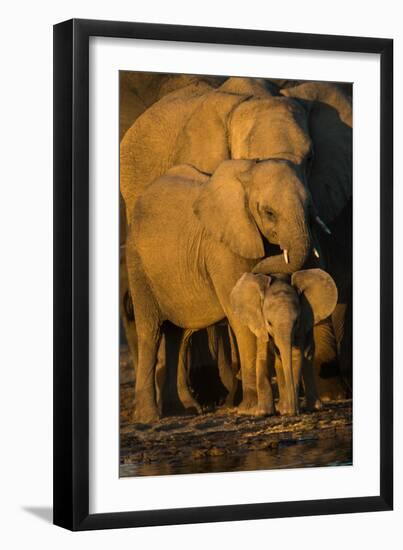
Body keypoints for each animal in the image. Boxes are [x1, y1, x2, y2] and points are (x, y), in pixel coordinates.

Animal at [230, 270, 338, 416]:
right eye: (269, 323)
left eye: (296, 321)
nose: (294, 411)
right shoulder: (260, 323)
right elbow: (264, 356)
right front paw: (263, 413)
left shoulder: (301, 326)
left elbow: (296, 355)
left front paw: (288, 410)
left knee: (308, 357)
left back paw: (312, 407)